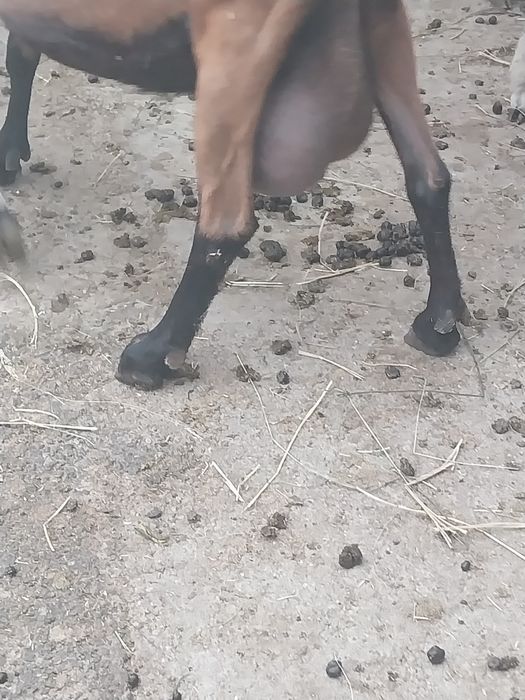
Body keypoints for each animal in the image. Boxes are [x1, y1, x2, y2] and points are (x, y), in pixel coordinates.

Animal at [0, 0, 469, 390]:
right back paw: (439, 322)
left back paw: (150, 356)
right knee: (428, 176)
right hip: (381, 27)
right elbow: (19, 51)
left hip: (235, 43)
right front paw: (9, 153)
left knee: (225, 226)